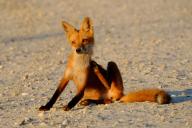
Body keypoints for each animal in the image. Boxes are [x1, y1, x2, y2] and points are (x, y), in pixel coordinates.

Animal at [39, 17, 171, 111]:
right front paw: (46, 107)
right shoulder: (65, 77)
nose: (78, 50)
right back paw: (89, 100)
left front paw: (68, 106)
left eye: (84, 40)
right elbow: (55, 94)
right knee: (106, 100)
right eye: (73, 42)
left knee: (109, 90)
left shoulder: (83, 83)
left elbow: (76, 97)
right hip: (93, 93)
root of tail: (121, 94)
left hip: (111, 65)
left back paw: (96, 69)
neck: (78, 66)